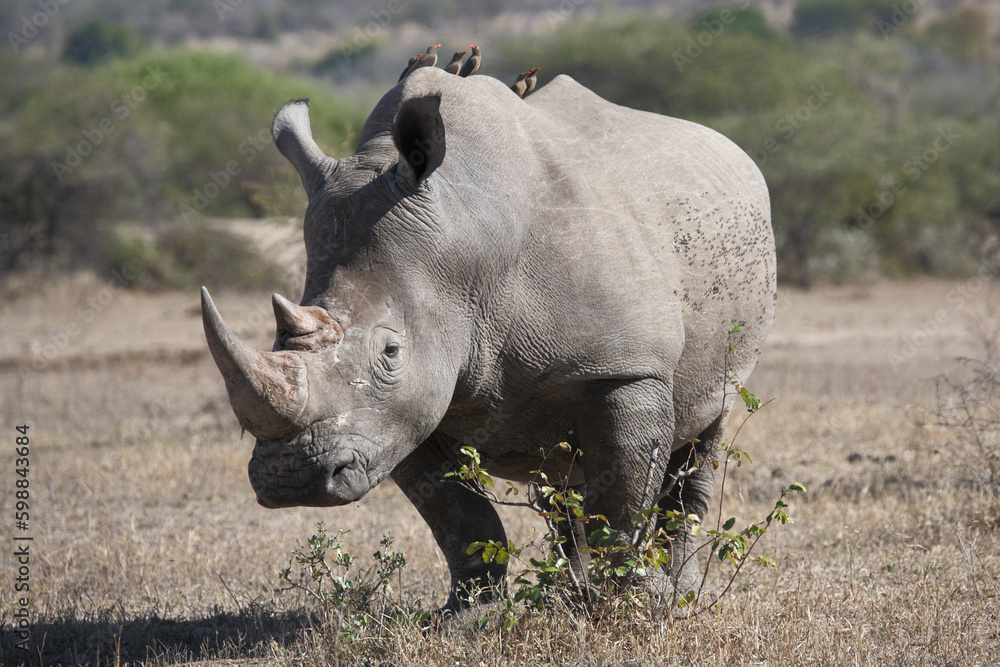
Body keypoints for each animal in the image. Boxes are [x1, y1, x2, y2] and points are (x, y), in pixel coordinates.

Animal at [201, 66, 775, 611]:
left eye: (390, 352)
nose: (289, 479)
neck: (465, 252)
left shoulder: (624, 365)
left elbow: (623, 498)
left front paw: (631, 609)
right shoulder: (400, 413)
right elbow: (457, 514)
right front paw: (469, 615)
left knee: (705, 439)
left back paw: (679, 595)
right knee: (562, 473)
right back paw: (569, 594)